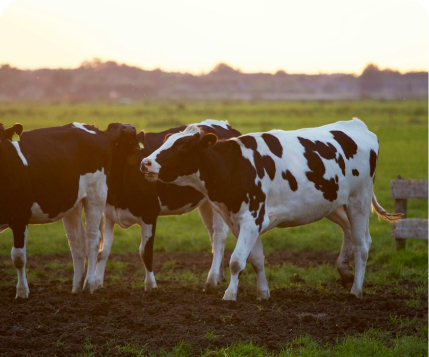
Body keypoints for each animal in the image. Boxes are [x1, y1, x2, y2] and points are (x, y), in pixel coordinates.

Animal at [0, 122, 136, 298]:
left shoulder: (19, 216)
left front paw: (22, 292)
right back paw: (76, 286)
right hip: (73, 202)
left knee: (92, 238)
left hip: (96, 193)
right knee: (76, 241)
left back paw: (88, 285)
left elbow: (18, 257)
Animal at [93, 118, 241, 290]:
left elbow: (145, 252)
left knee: (218, 237)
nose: (129, 128)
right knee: (212, 235)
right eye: (111, 127)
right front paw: (96, 284)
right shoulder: (108, 214)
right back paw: (220, 276)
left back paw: (211, 279)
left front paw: (151, 286)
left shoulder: (149, 213)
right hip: (206, 203)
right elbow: (103, 251)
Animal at [141, 118, 402, 298]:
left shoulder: (251, 218)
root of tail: (357, 125)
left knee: (362, 246)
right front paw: (263, 293)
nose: (145, 162)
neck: (235, 165)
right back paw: (345, 272)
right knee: (353, 233)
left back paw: (356, 290)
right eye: (166, 141)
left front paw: (230, 295)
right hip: (334, 204)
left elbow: (236, 261)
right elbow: (256, 259)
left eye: (182, 147)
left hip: (359, 200)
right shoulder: (242, 221)